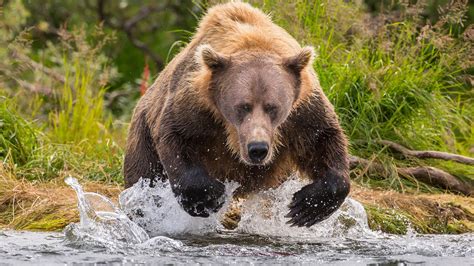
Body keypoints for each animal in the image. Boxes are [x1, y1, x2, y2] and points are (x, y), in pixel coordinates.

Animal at [124, 1, 350, 227]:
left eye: (272, 107)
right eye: (243, 106)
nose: (257, 149)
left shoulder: (303, 111)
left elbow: (324, 138)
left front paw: (306, 207)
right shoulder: (197, 106)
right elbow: (175, 134)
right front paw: (208, 196)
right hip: (142, 139)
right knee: (144, 176)